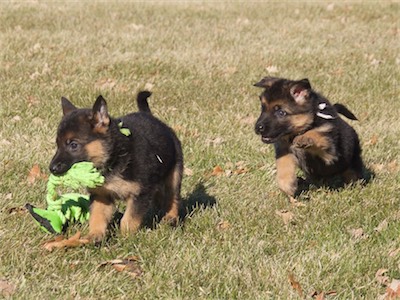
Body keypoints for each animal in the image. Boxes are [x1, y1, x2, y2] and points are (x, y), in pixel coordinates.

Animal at [48, 91, 184, 241]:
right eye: (58, 144)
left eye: (73, 145)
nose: (52, 168)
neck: (113, 158)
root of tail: (151, 116)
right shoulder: (101, 195)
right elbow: (97, 216)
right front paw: (95, 236)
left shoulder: (140, 194)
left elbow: (129, 219)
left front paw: (126, 239)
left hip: (174, 175)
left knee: (173, 197)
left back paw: (171, 218)